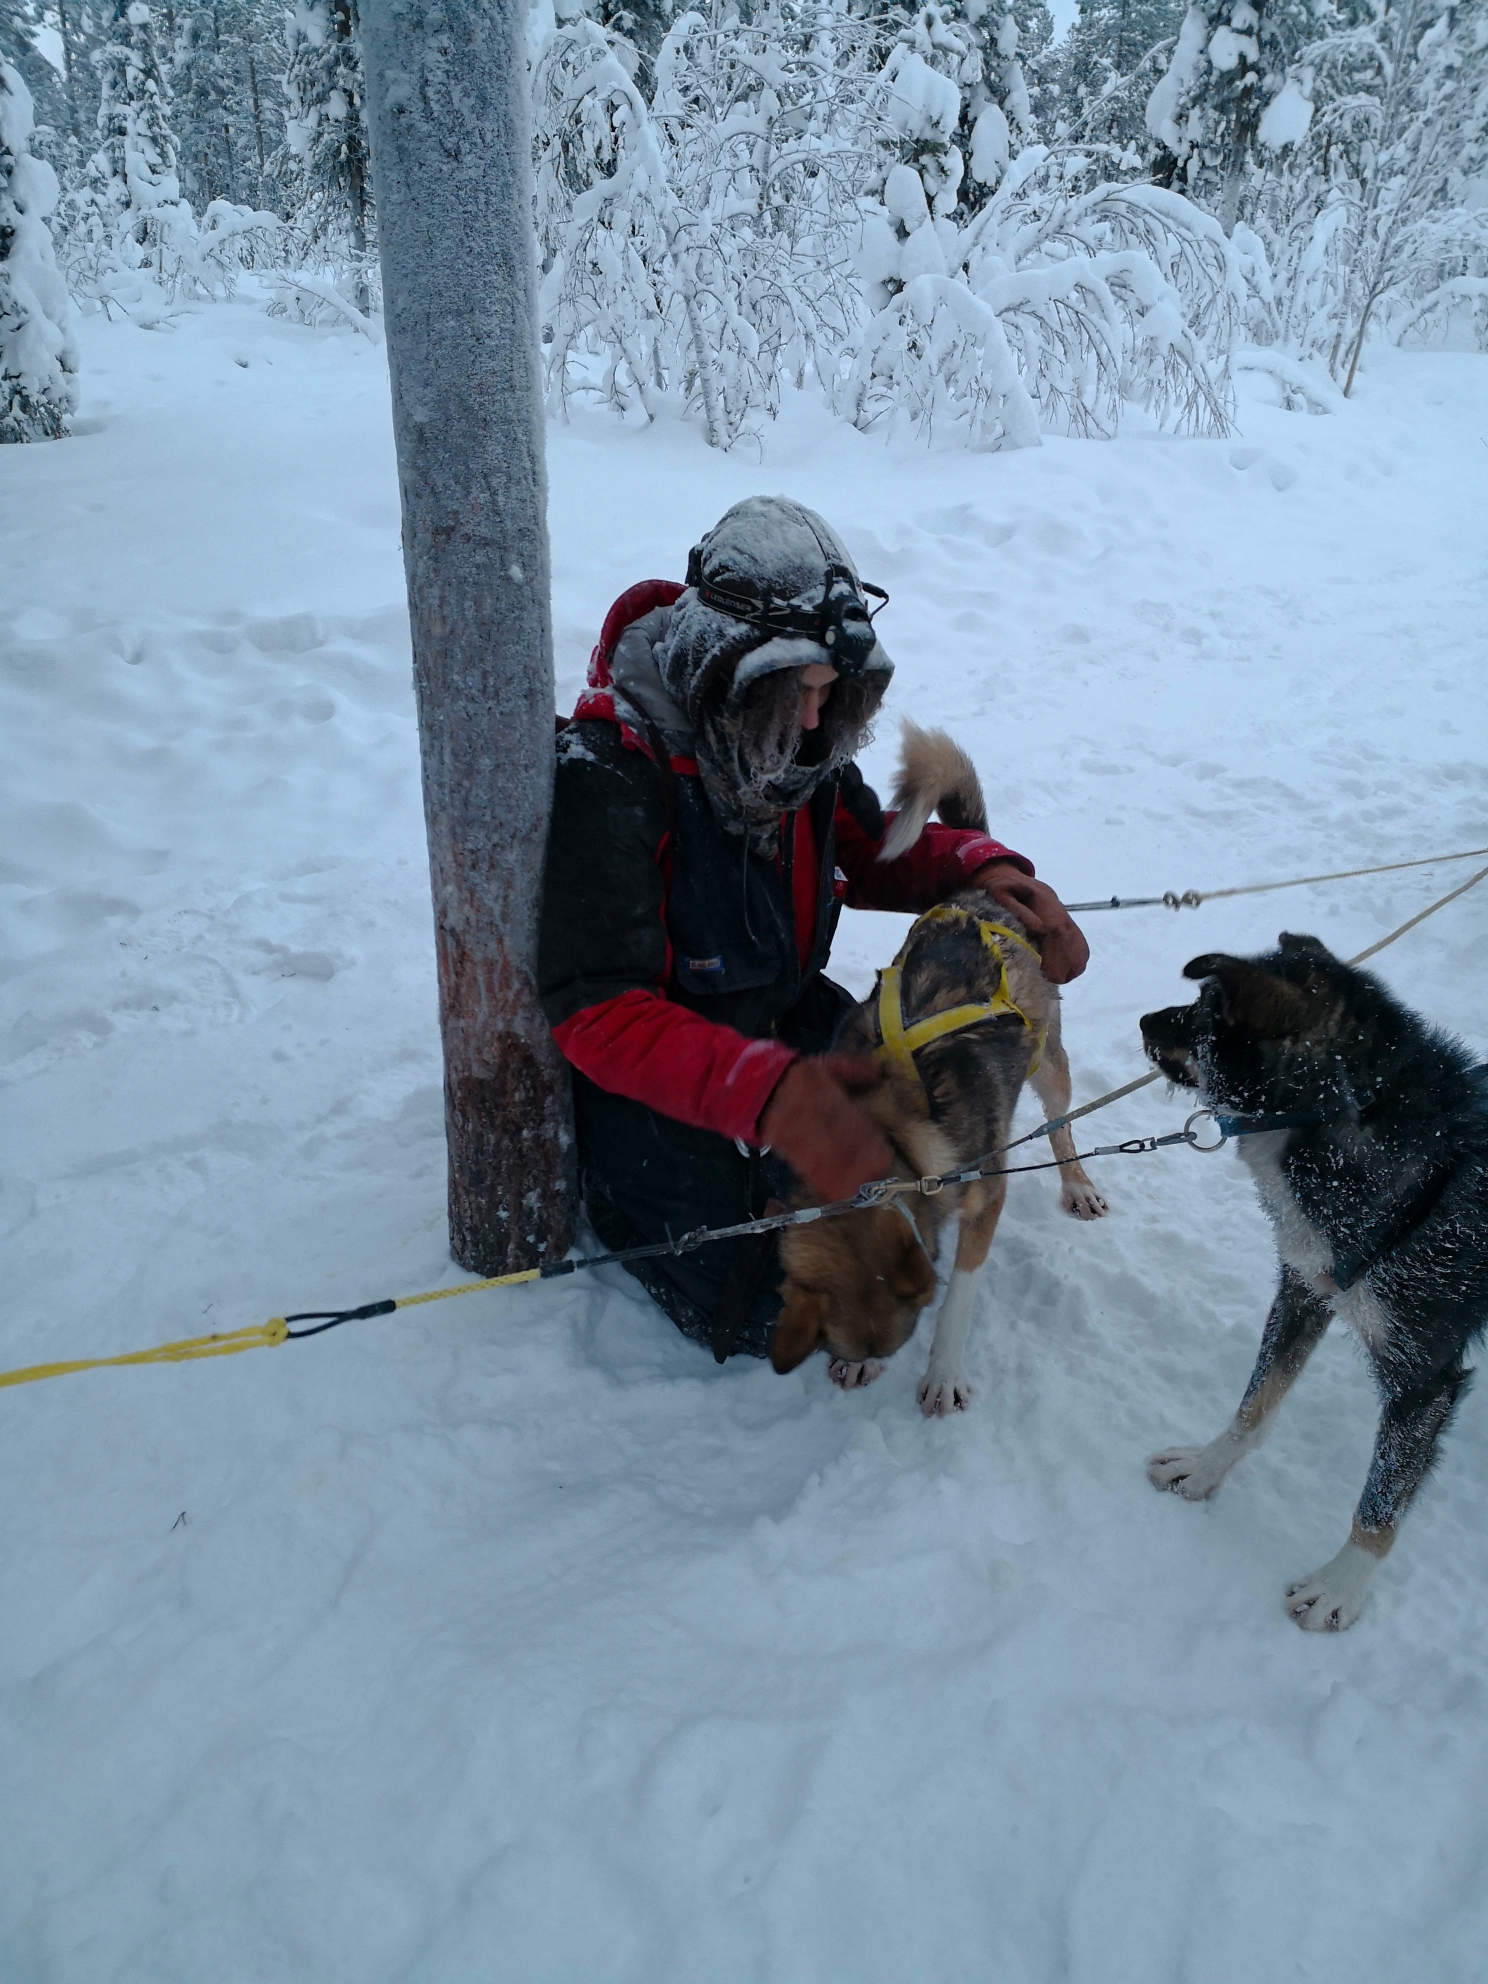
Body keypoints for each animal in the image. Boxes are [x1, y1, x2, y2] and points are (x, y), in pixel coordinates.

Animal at [769, 726, 1111, 1412]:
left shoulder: (987, 1195)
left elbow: (959, 1295)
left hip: (1050, 1065)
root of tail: (980, 896)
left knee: (1060, 1123)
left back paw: (1077, 1183)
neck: (887, 1127)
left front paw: (944, 1371)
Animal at [1150, 936, 1484, 1634]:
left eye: (1204, 1010)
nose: (1144, 1020)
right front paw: (1206, 1468)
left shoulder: (1424, 1381)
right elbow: (1253, 1407)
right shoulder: (1304, 1294)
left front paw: (1340, 1586)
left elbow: (1381, 1501)